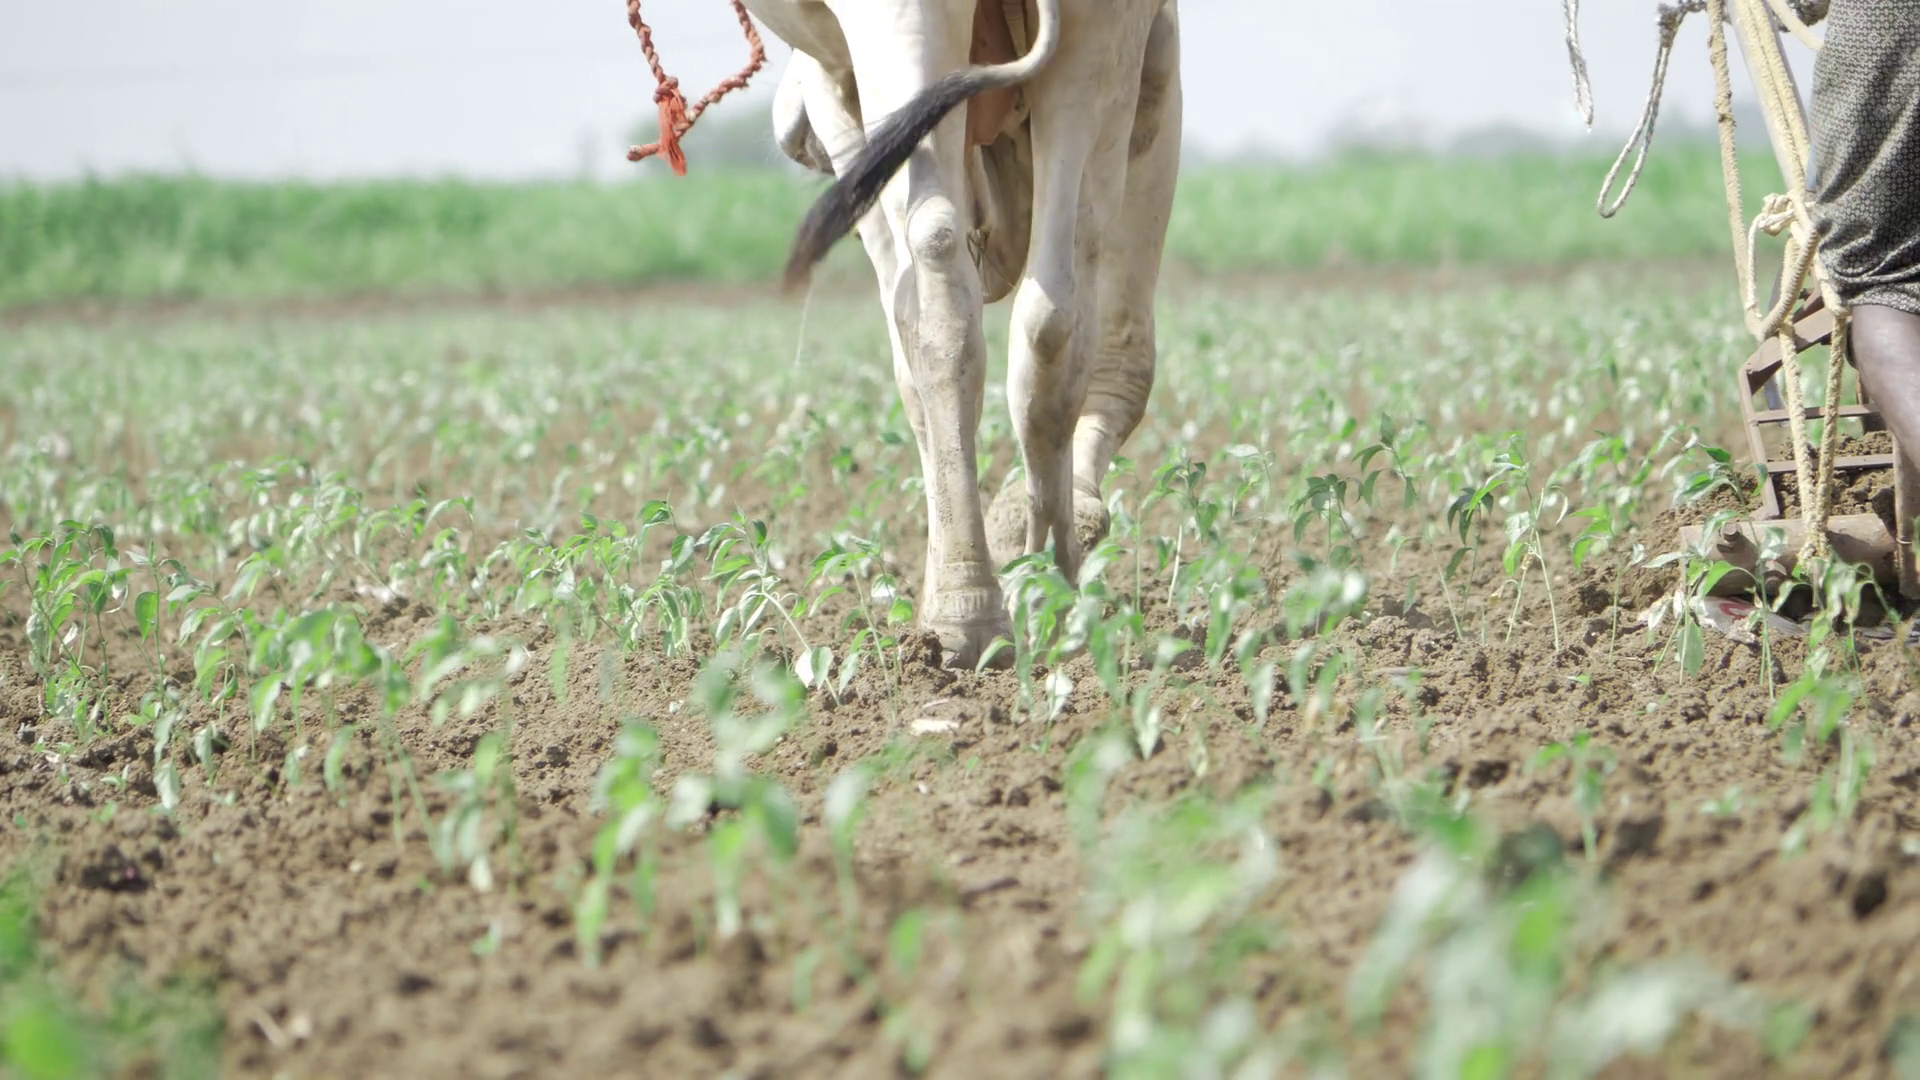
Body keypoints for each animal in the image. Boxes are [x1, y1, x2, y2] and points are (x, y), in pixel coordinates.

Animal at [749, 0, 1182, 669]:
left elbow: (911, 377)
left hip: (898, 29)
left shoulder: (833, 90)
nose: (792, 135)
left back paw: (967, 611)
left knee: (939, 274)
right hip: (1100, 39)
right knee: (1054, 309)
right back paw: (1048, 593)